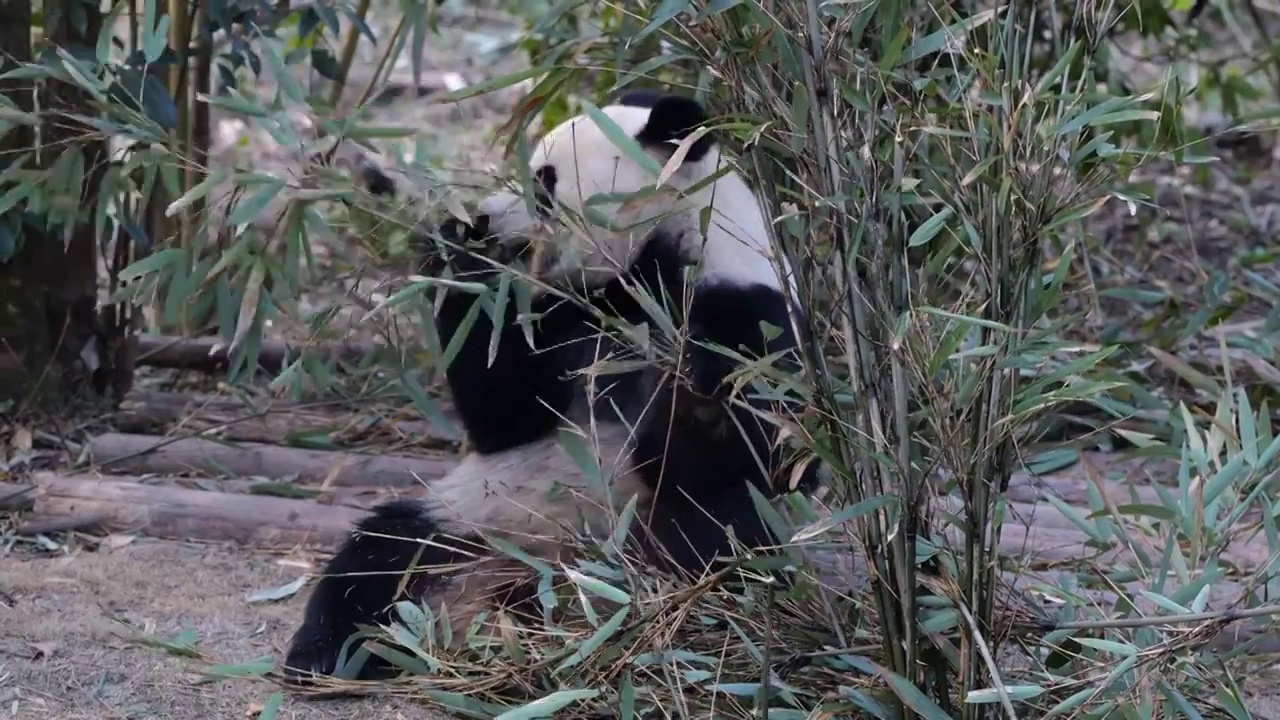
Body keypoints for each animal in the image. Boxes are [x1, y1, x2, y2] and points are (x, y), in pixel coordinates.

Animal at [282, 88, 819, 676]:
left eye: (544, 182)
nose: (483, 215)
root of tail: (538, 571)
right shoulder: (566, 317)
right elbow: (502, 413)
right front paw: (462, 250)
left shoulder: (748, 314)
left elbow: (761, 450)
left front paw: (695, 397)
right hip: (470, 514)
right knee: (380, 560)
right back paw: (329, 652)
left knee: (722, 526)